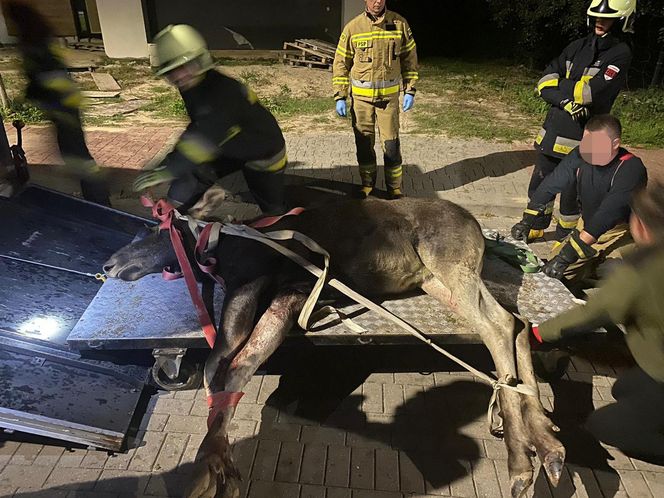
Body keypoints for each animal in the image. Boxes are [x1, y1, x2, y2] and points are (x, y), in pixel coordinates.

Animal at [105, 197, 564, 498]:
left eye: (153, 229)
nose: (109, 264)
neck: (220, 248)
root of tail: (475, 225)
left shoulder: (252, 280)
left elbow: (223, 360)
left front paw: (213, 462)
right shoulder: (291, 291)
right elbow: (241, 361)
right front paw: (216, 464)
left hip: (448, 263)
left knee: (499, 325)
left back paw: (521, 462)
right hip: (436, 280)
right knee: (517, 322)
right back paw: (545, 442)